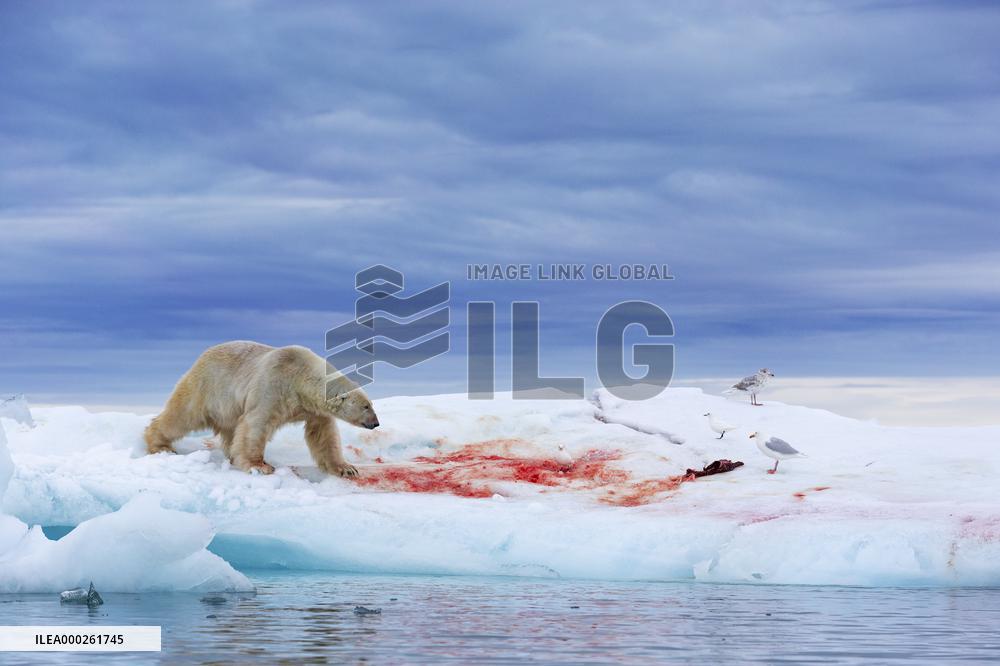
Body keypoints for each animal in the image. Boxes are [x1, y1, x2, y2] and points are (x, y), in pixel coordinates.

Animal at [143, 341, 379, 476]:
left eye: (371, 404)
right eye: (365, 406)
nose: (376, 423)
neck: (300, 376)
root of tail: (201, 356)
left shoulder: (312, 409)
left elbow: (324, 435)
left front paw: (346, 468)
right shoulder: (273, 387)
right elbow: (256, 424)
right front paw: (259, 465)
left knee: (230, 430)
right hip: (207, 387)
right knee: (182, 415)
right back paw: (161, 445)